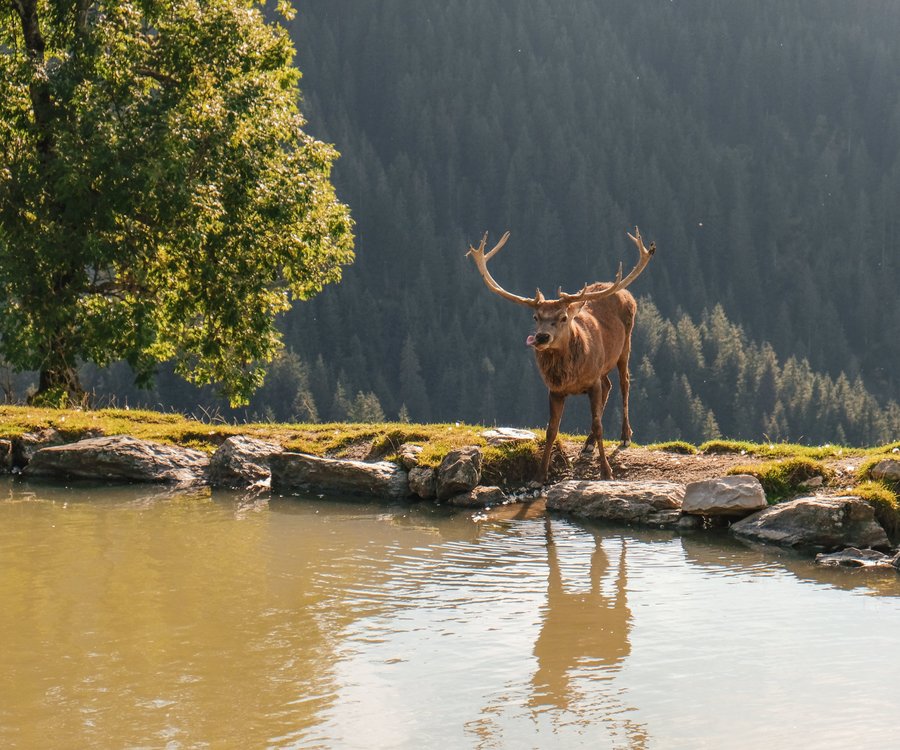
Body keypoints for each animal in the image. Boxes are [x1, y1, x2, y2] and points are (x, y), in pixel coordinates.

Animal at [464, 229, 652, 484]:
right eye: (535, 317)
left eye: (563, 317)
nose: (541, 337)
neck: (570, 376)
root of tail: (625, 291)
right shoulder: (554, 390)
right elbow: (551, 430)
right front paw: (540, 475)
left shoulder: (591, 381)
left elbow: (599, 425)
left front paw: (606, 472)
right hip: (603, 366)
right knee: (609, 384)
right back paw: (588, 444)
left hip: (626, 346)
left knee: (624, 383)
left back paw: (625, 436)